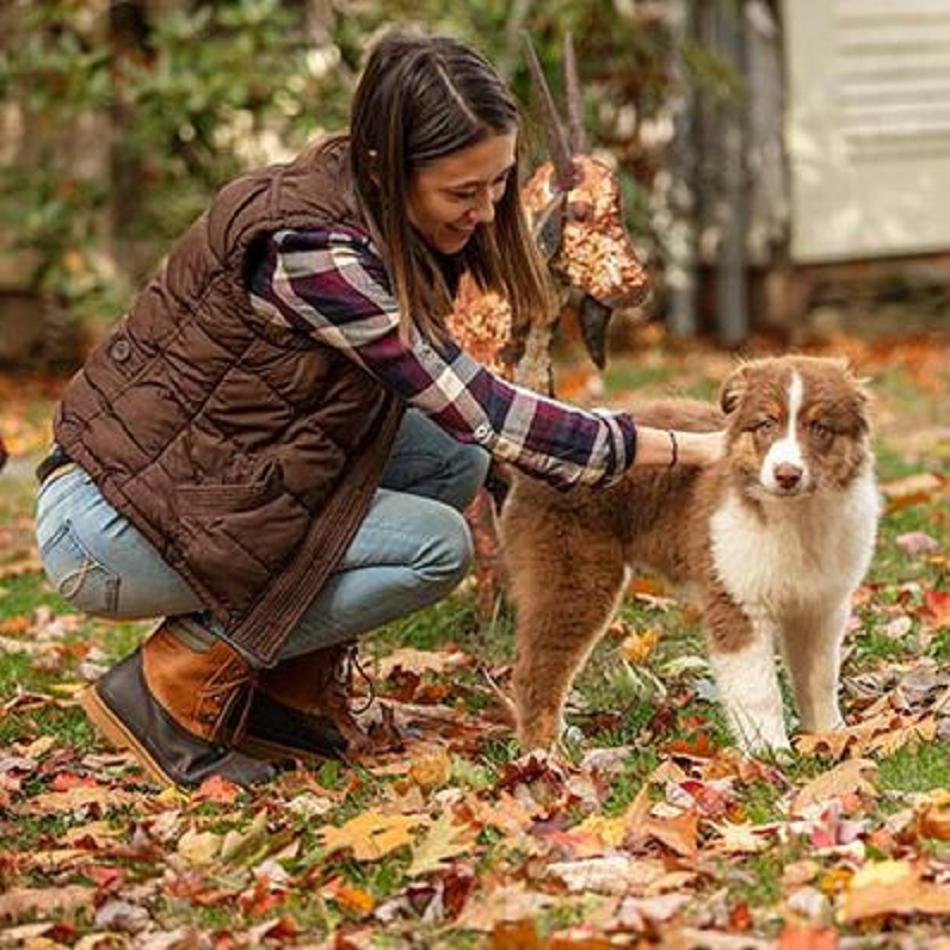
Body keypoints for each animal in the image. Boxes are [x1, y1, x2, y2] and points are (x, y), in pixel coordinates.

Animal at [502, 354, 880, 756]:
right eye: (766, 423)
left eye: (820, 427)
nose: (787, 474)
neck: (797, 518)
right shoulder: (736, 598)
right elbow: (758, 688)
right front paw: (769, 752)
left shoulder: (822, 605)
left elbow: (821, 678)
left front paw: (831, 736)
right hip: (576, 579)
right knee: (536, 670)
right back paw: (545, 753)